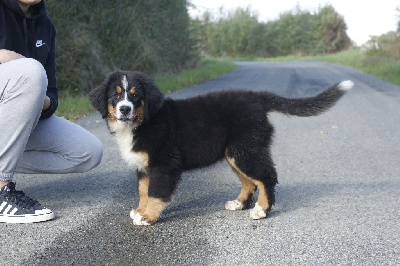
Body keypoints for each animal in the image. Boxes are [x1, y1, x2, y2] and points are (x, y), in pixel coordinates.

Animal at [90, 70, 354, 224]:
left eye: (135, 95)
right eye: (116, 96)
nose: (125, 109)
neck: (144, 122)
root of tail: (257, 97)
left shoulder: (163, 164)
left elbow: (156, 192)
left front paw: (148, 217)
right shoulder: (144, 167)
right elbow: (144, 191)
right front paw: (140, 210)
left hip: (246, 150)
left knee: (266, 177)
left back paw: (261, 210)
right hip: (236, 152)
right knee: (250, 181)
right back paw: (239, 203)